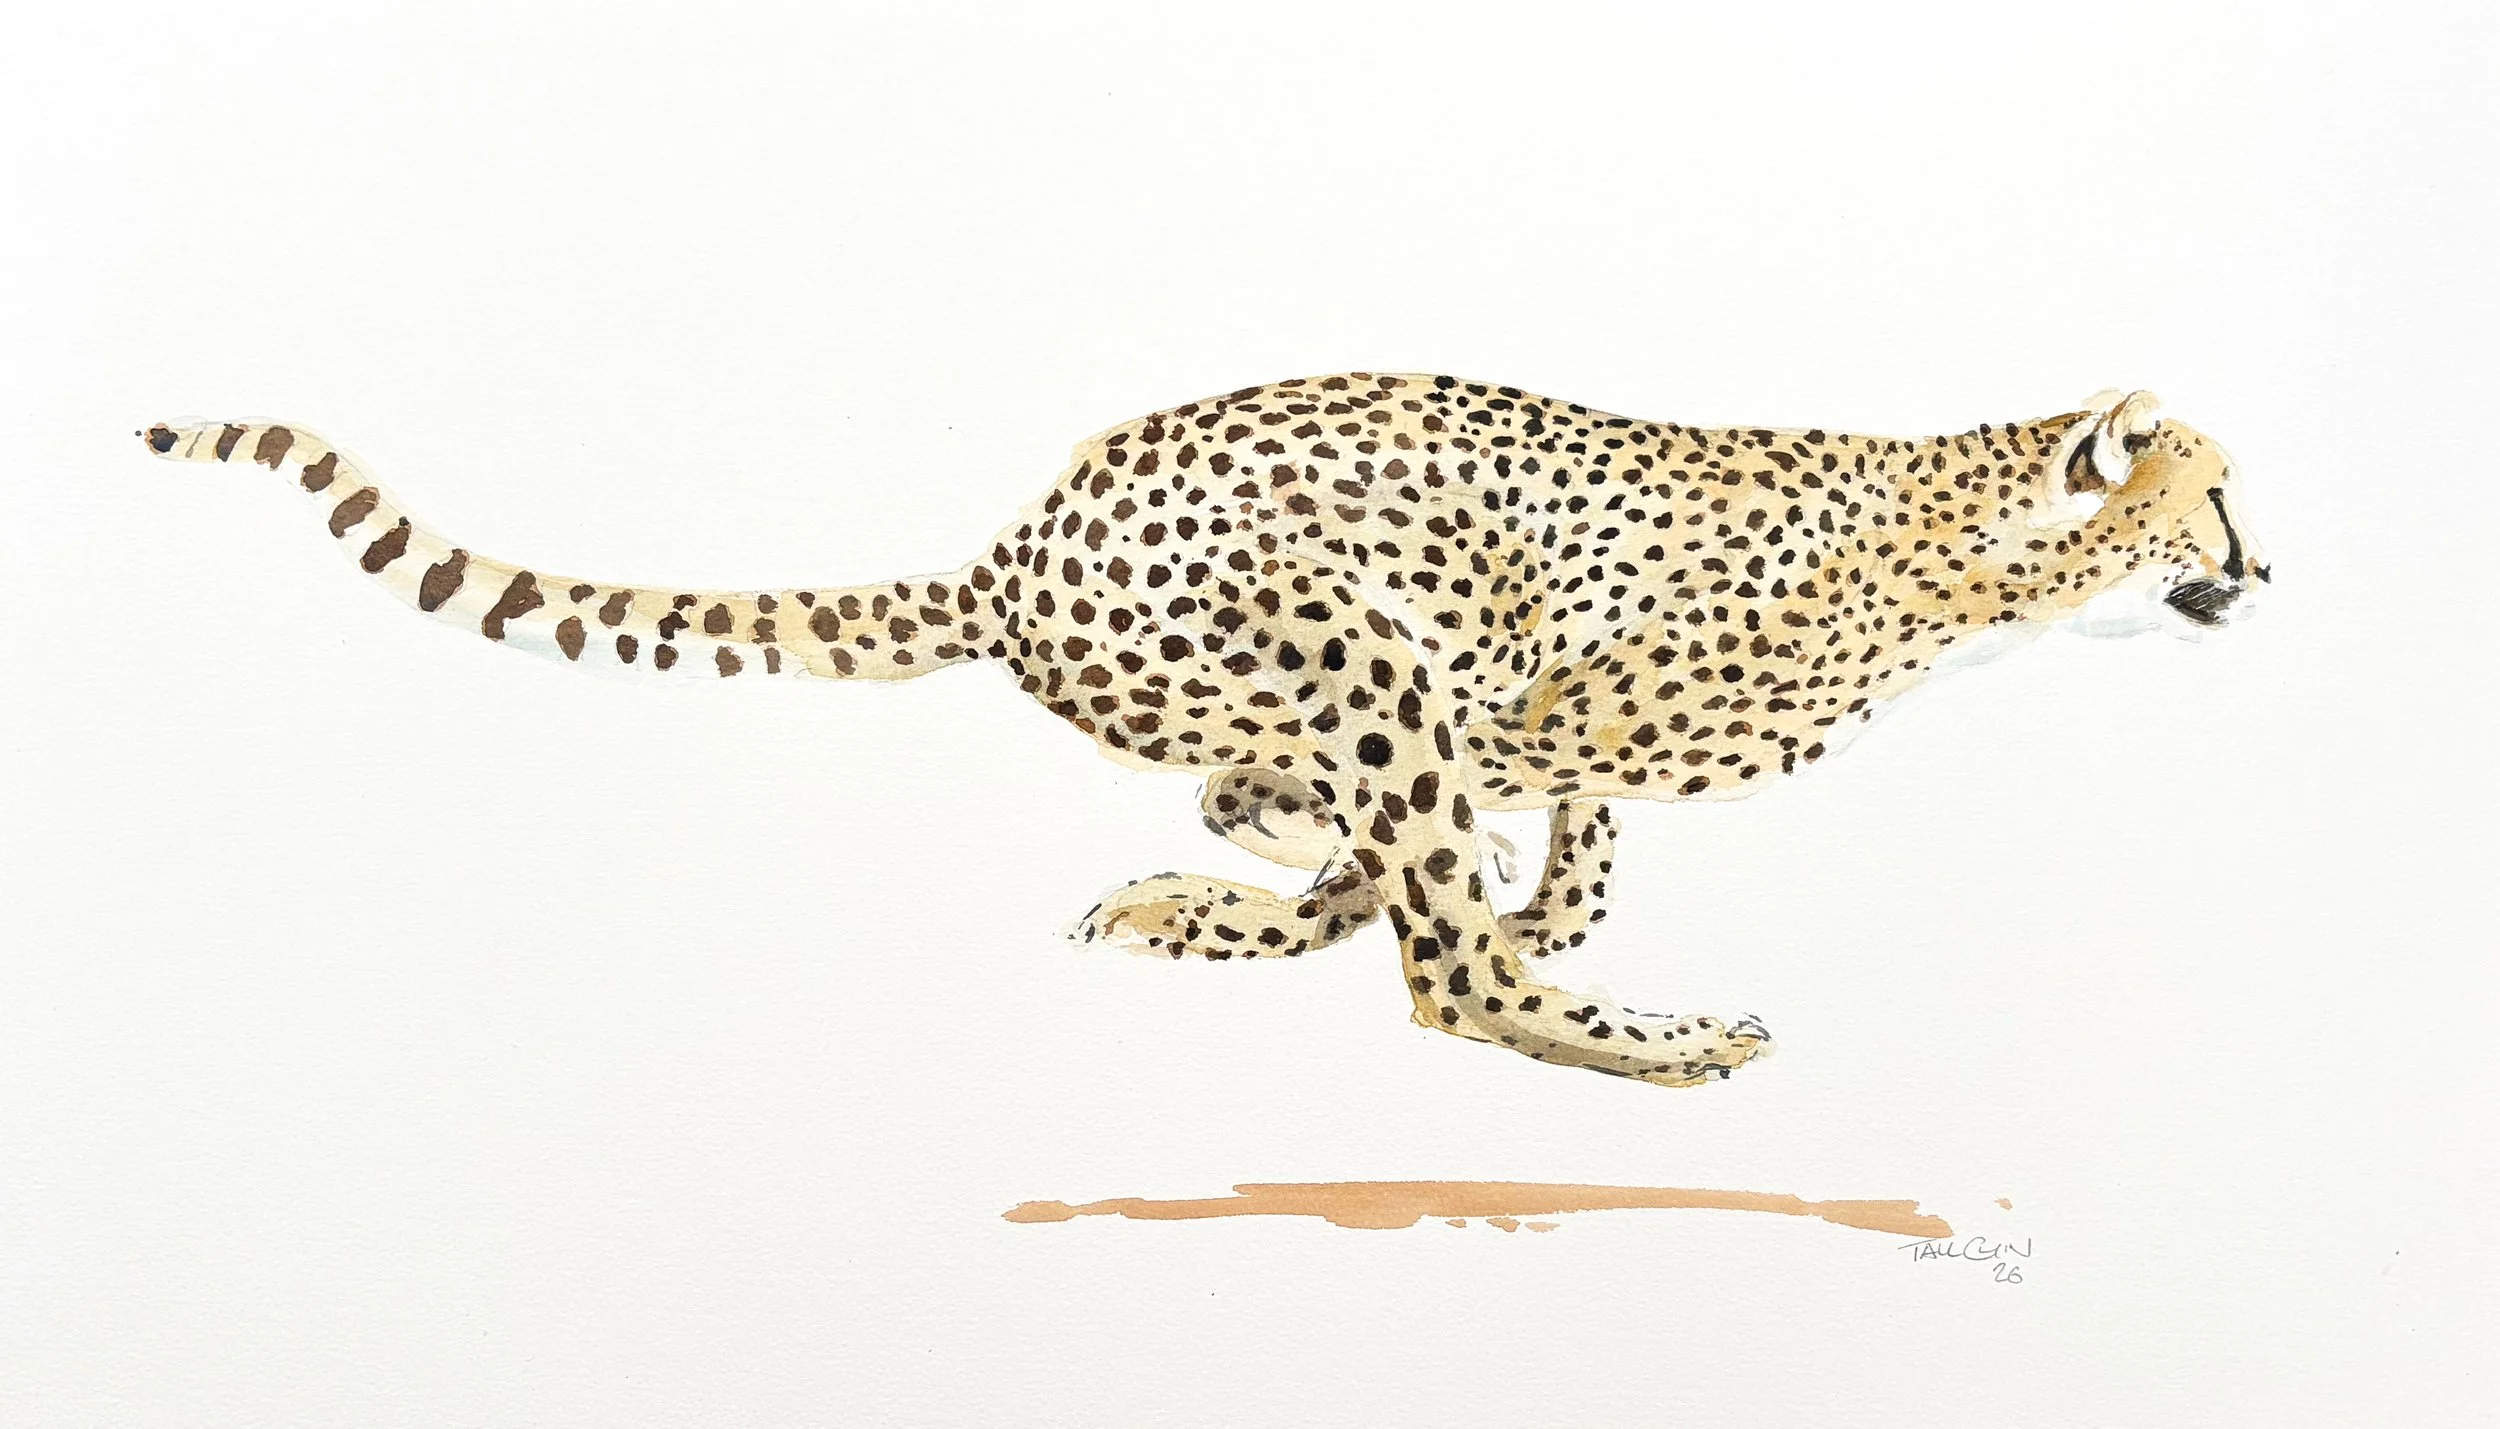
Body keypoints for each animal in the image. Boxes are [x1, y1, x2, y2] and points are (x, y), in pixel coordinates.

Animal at [142, 375, 2267, 1087]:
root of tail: (1015, 544)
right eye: (2215, 498)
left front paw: (1239, 885)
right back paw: (1658, 1041)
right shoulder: (1519, 688)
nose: (2267, 567)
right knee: (1452, 978)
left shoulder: (1523, 712)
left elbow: (1515, 846)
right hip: (1334, 626)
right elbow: (1491, 862)